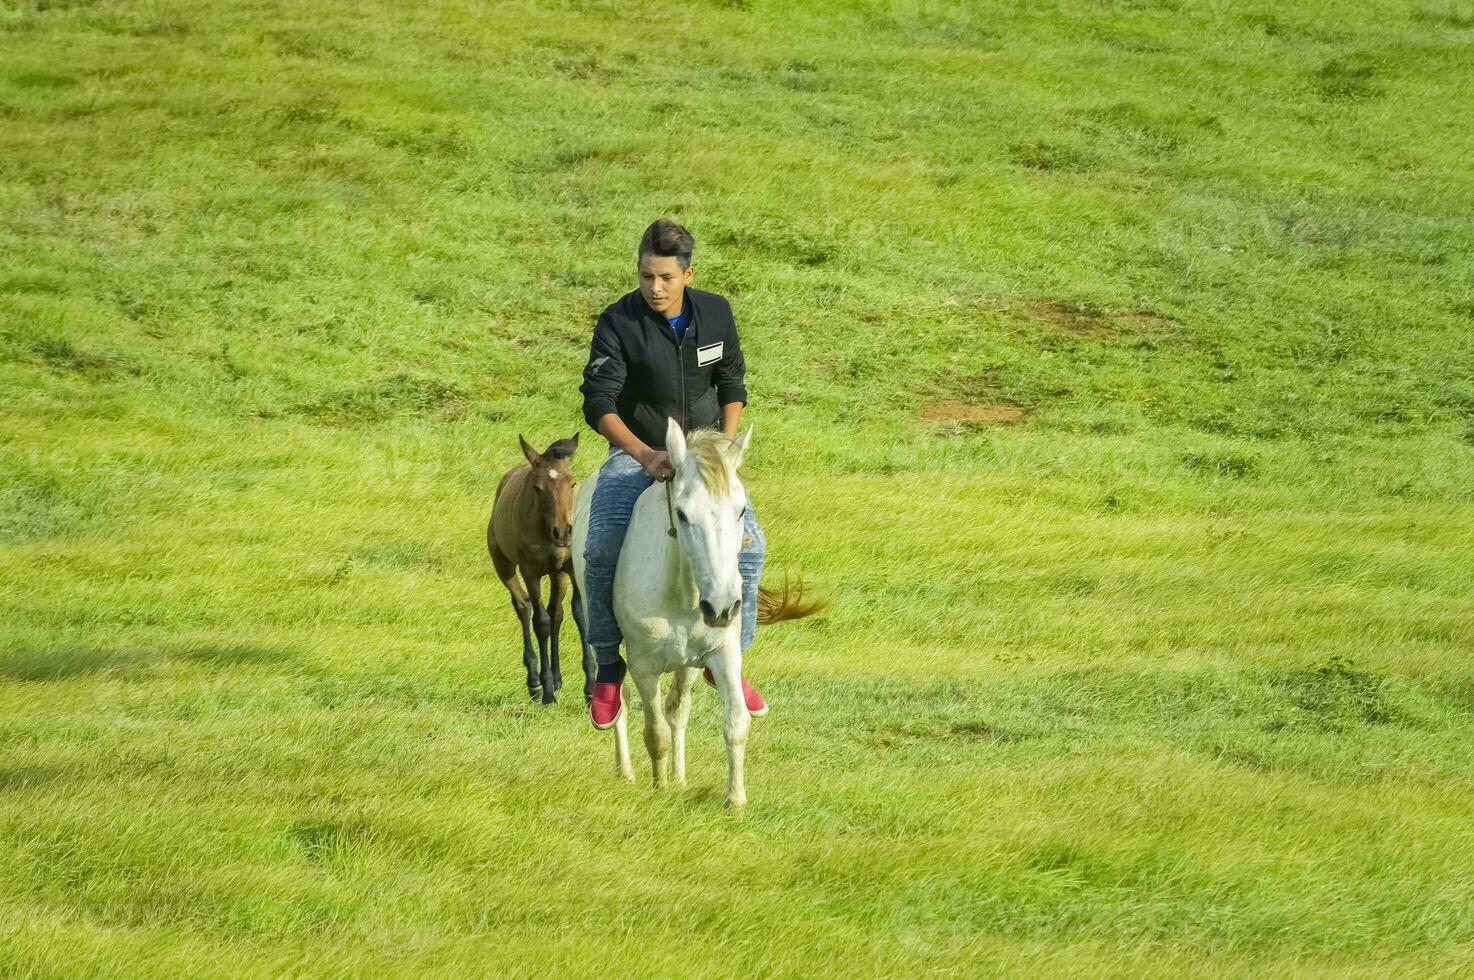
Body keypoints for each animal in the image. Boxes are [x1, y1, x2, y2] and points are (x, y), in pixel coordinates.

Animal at [489, 433, 592, 704]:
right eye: (537, 488)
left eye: (572, 483)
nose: (563, 532)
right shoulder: (530, 571)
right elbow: (541, 621)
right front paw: (546, 692)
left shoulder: (571, 567)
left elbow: (579, 614)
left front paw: (590, 687)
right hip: (503, 564)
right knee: (524, 607)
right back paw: (535, 683)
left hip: (558, 574)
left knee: (557, 612)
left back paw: (557, 679)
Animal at [568, 415, 778, 807]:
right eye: (681, 513)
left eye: (741, 510)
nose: (722, 606)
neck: (684, 590)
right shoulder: (643, 666)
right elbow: (656, 732)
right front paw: (660, 788)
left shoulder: (722, 652)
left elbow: (734, 723)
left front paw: (735, 800)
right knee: (620, 699)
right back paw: (626, 772)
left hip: (688, 665)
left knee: (678, 710)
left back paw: (679, 778)